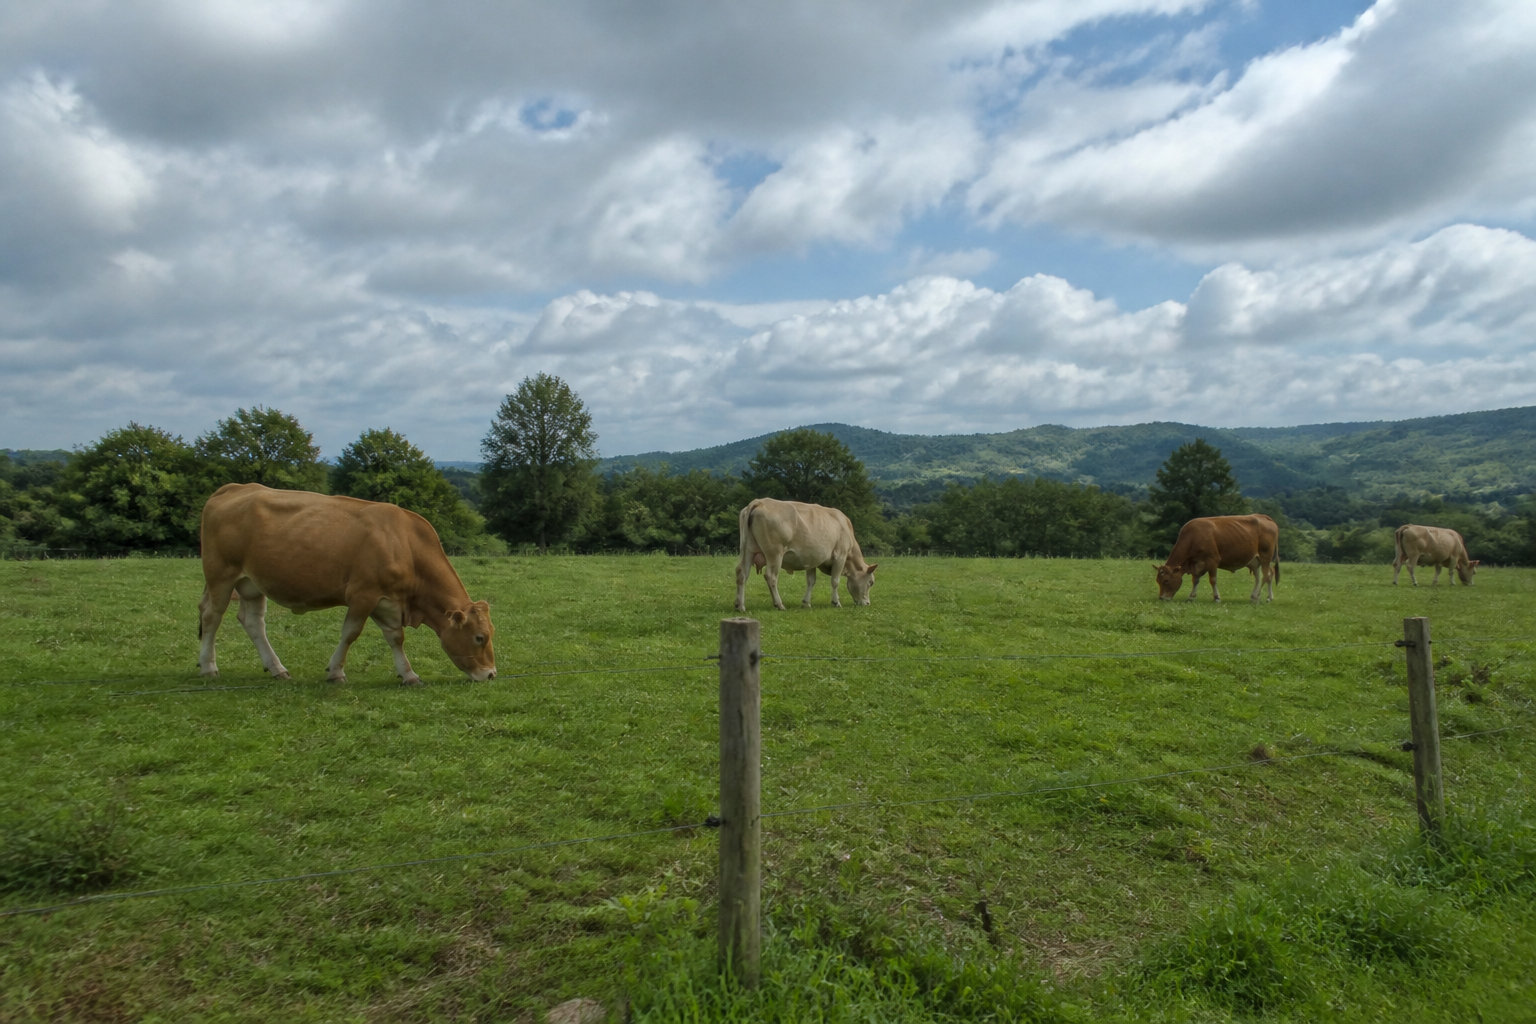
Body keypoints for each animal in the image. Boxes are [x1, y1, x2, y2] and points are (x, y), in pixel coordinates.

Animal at [198, 483, 496, 685]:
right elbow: (351, 633)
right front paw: (336, 672)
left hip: (252, 583)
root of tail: (236, 487)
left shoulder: (389, 600)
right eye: (479, 637)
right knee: (212, 616)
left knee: (253, 623)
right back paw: (208, 666)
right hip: (220, 574)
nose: (491, 674)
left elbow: (395, 637)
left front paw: (408, 674)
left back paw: (276, 668)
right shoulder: (363, 594)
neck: (406, 544)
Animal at [735, 497, 878, 611]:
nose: (867, 603)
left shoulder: (811, 559)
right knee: (771, 576)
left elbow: (811, 581)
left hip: (747, 550)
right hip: (775, 554)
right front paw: (836, 602)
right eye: (871, 582)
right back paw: (779, 604)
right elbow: (835, 581)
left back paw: (740, 605)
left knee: (742, 573)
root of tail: (759, 502)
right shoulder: (840, 556)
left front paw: (806, 603)